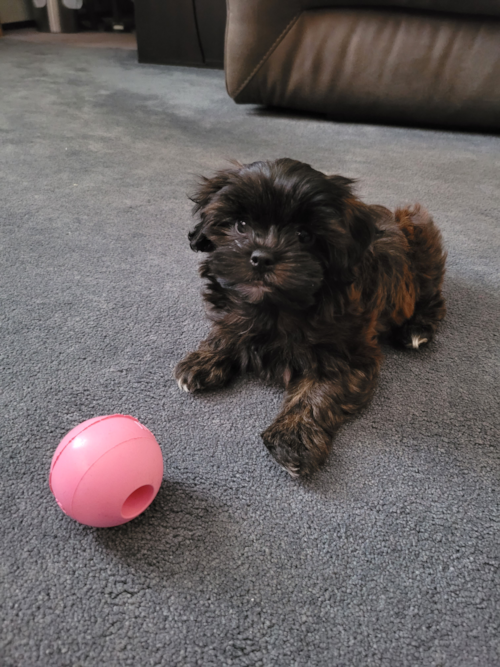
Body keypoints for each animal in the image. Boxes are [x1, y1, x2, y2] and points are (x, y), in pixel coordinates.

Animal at [175, 159, 446, 478]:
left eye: (304, 236)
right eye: (241, 225)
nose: (261, 257)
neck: (276, 306)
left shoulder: (347, 354)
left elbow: (318, 393)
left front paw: (294, 437)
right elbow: (228, 327)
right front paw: (205, 359)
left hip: (420, 238)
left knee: (432, 295)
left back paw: (416, 328)